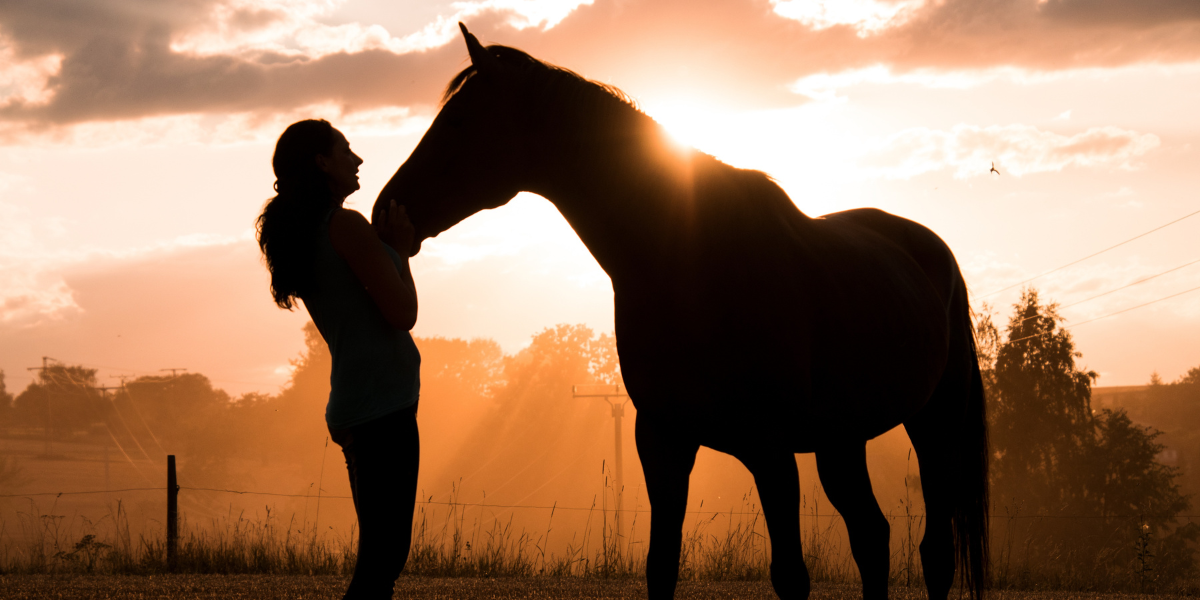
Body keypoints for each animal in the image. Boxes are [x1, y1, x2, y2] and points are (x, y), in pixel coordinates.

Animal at [376, 24, 989, 600]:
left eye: (460, 122)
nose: (386, 211)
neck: (693, 262)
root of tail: (930, 250)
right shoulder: (663, 440)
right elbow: (660, 568)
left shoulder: (771, 449)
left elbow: (791, 575)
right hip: (842, 439)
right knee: (872, 536)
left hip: (934, 426)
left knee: (933, 552)